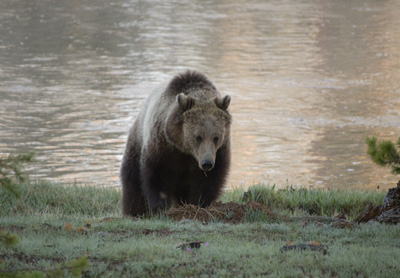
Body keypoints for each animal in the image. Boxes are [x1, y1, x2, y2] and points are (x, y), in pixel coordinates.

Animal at [120, 70, 231, 217]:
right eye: (198, 137)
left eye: (216, 137)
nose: (207, 163)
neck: (185, 150)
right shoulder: (163, 146)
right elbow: (157, 176)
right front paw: (161, 208)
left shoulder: (218, 152)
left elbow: (208, 181)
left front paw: (198, 205)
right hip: (136, 144)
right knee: (132, 184)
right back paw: (134, 212)